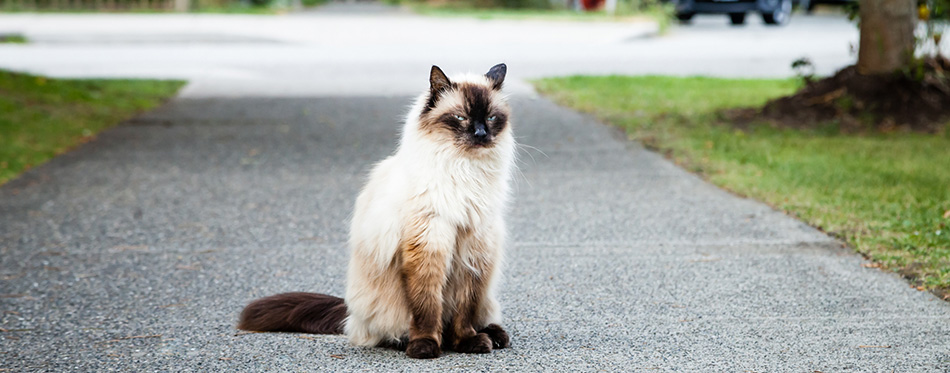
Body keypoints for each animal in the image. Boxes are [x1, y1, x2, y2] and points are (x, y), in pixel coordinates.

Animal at [242, 63, 516, 358]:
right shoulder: (428, 245)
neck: (464, 170)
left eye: (491, 118)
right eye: (460, 117)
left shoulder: (473, 250)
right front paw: (425, 346)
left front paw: (468, 342)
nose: (481, 134)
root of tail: (350, 313)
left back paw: (493, 336)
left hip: (487, 295)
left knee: (479, 316)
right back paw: (413, 342)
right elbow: (427, 307)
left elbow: (465, 311)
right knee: (391, 331)